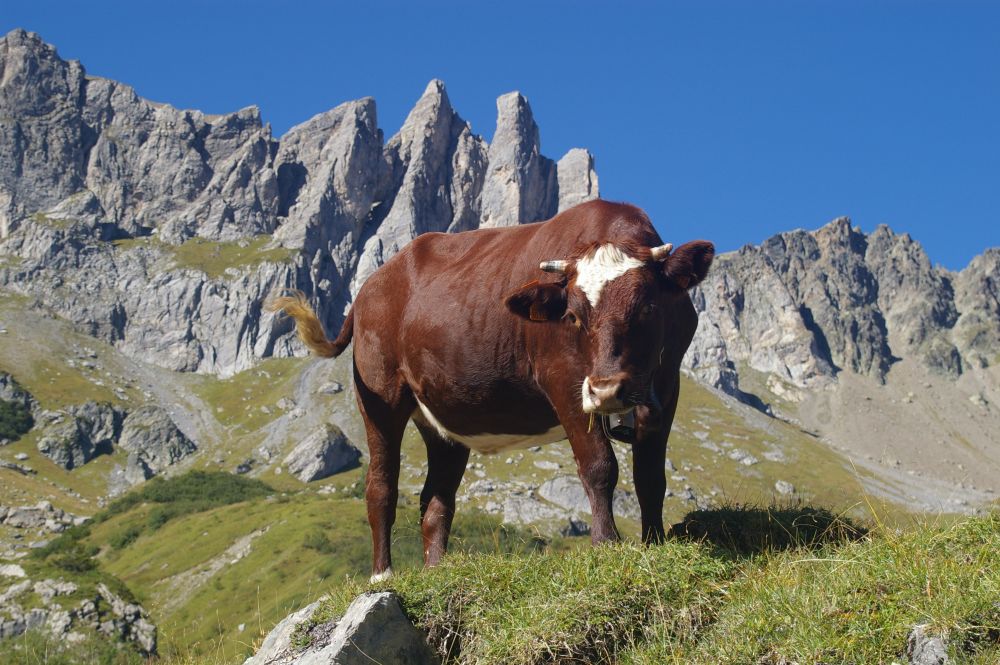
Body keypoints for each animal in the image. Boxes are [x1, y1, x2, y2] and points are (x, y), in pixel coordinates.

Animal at [266, 200, 712, 580]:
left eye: (648, 307)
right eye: (572, 315)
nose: (606, 390)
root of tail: (371, 286)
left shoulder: (665, 387)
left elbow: (650, 475)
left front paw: (653, 543)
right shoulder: (565, 382)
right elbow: (599, 466)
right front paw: (606, 544)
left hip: (445, 423)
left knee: (436, 502)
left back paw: (436, 572)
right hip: (380, 397)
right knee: (381, 486)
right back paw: (382, 575)